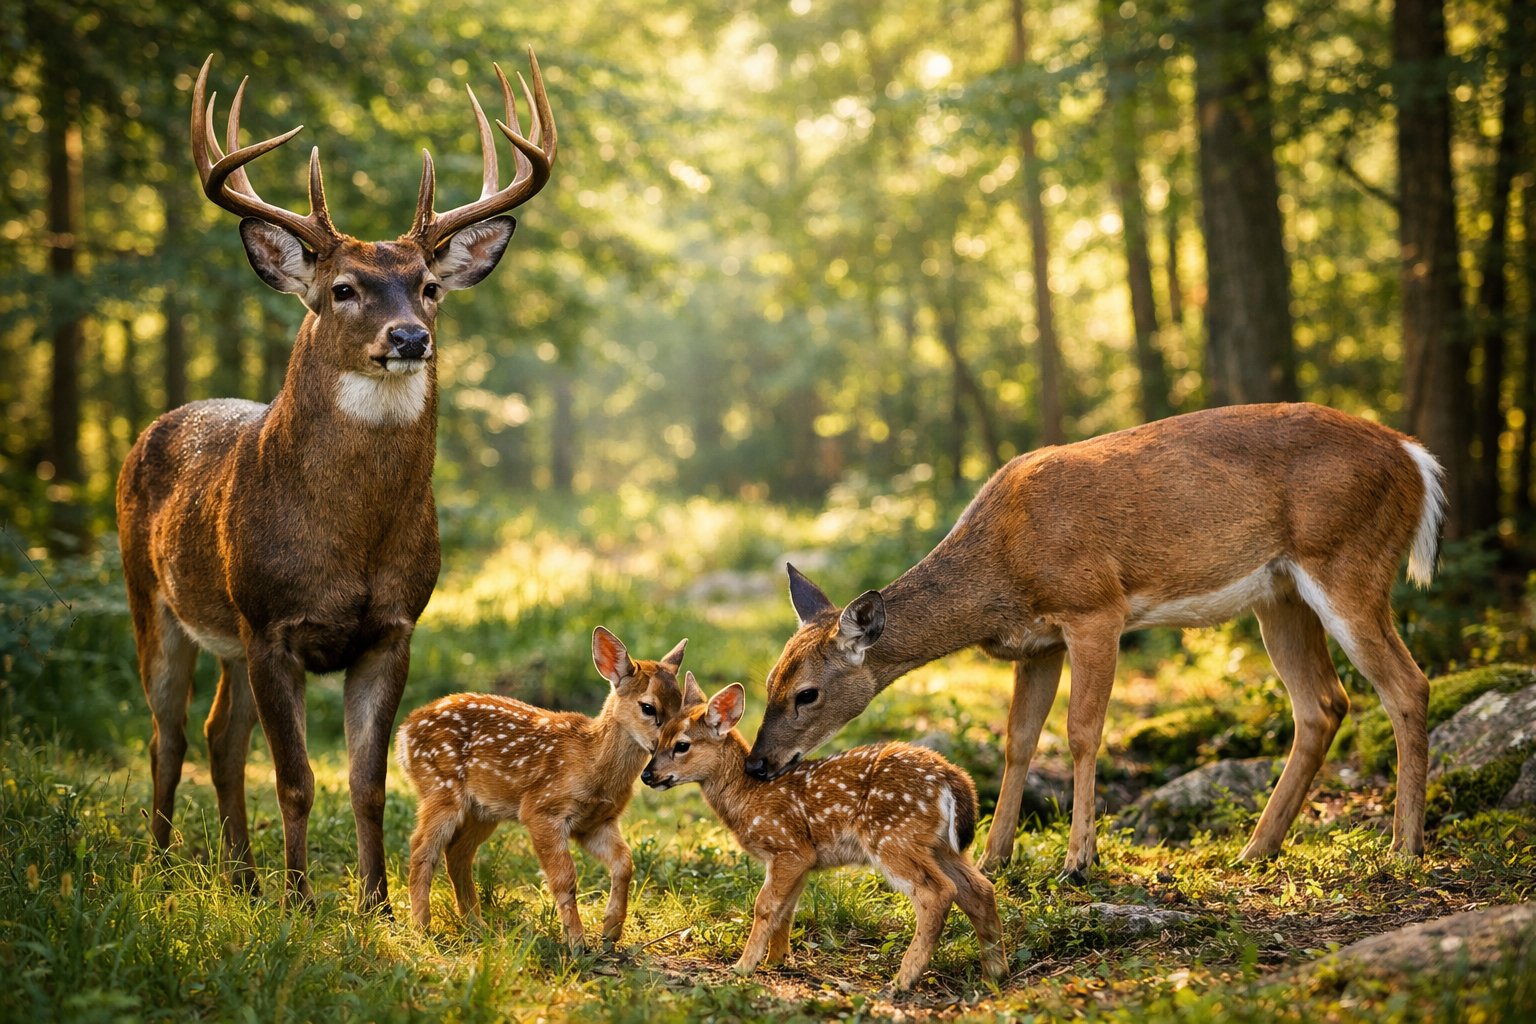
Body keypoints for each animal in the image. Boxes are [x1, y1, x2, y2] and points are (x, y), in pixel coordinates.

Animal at [114, 50, 556, 912]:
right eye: (344, 288)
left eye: (429, 286)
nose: (410, 336)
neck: (348, 537)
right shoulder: (272, 622)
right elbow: (294, 780)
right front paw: (302, 903)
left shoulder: (391, 628)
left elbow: (367, 783)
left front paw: (375, 903)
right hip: (154, 597)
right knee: (167, 732)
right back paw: (161, 864)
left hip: (227, 635)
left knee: (219, 735)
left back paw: (242, 878)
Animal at [396, 628, 687, 946]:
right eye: (648, 707)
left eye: (683, 706)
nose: (672, 746)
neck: (592, 763)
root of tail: (404, 732)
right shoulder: (541, 809)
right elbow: (565, 877)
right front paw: (576, 942)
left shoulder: (596, 823)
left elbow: (625, 862)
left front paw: (610, 931)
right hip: (440, 788)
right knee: (421, 849)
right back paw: (422, 928)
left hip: (483, 811)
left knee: (457, 853)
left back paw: (476, 926)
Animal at [643, 676, 1006, 992]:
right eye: (656, 740)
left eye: (682, 745)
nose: (648, 775)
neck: (749, 797)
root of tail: (954, 778)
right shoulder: (801, 859)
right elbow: (786, 910)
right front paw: (776, 960)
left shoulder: (787, 845)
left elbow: (765, 906)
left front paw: (743, 967)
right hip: (941, 846)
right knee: (980, 889)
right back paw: (994, 973)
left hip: (893, 837)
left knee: (938, 894)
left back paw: (902, 981)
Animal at [742, 403, 1447, 881]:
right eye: (769, 683)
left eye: (807, 694)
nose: (757, 764)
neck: (1002, 571)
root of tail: (1417, 458)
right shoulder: (1037, 644)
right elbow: (1018, 739)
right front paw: (996, 856)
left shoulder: (1095, 610)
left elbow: (1082, 730)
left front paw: (1079, 859)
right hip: (1280, 596)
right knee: (1323, 704)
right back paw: (1256, 849)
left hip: (1349, 561)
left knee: (1407, 684)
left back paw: (1404, 846)